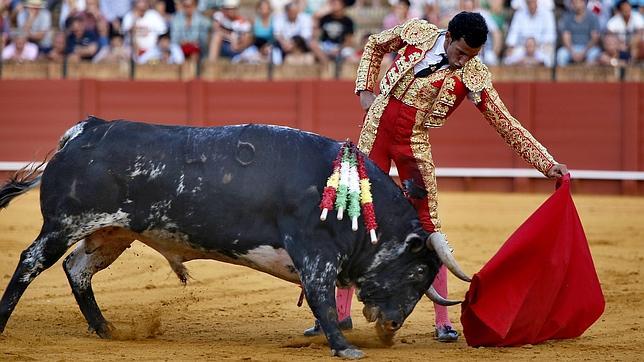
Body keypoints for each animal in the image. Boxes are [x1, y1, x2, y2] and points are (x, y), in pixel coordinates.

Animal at [0, 119, 462, 360]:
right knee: (30, 261)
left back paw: (107, 329)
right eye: (417, 272)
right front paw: (345, 348)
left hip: (111, 232)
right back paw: (5, 322)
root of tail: (84, 131)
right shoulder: (316, 254)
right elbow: (324, 302)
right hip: (65, 223)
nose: (391, 327)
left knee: (77, 270)